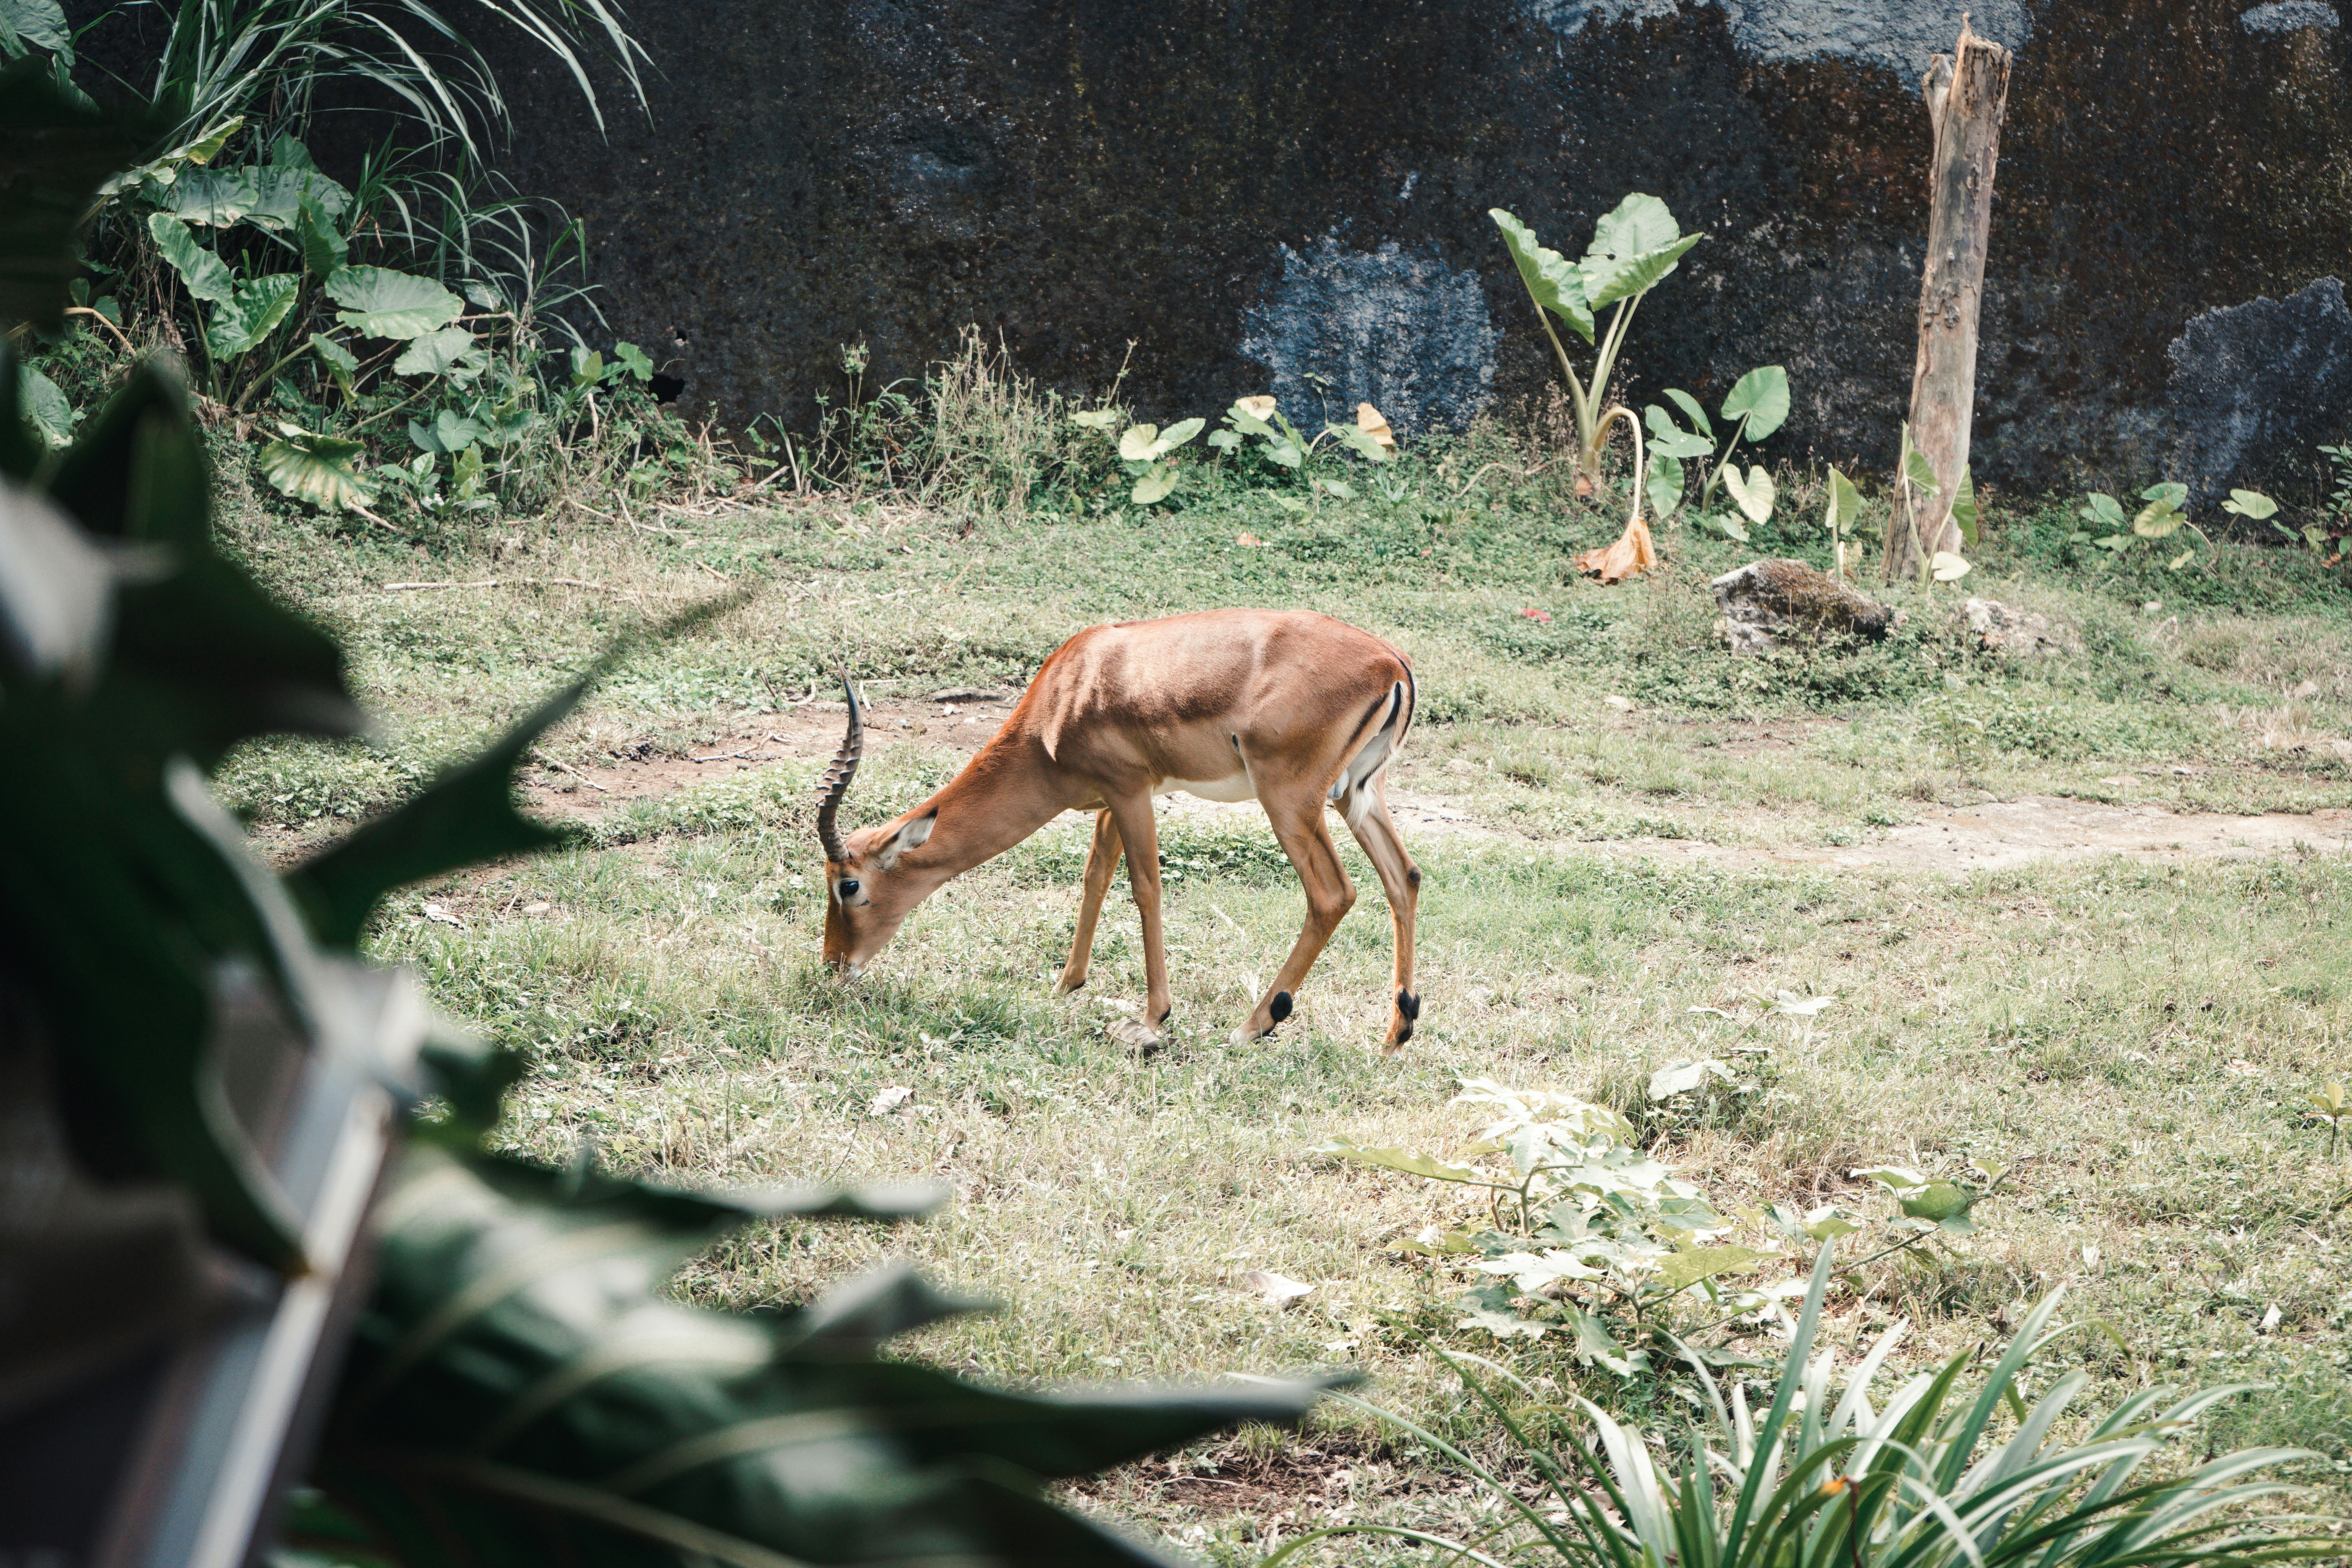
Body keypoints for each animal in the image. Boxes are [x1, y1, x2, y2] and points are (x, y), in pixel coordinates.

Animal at [814, 609, 1423, 1052]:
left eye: (850, 885)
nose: (835, 966)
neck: (1066, 697)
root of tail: (1392, 664)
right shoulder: (1112, 801)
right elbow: (1095, 880)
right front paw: (1066, 985)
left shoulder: (1130, 791)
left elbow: (1145, 890)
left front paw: (1153, 1017)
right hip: (1357, 795)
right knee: (1405, 877)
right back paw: (1397, 1032)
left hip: (1290, 801)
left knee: (1333, 894)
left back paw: (1255, 1025)